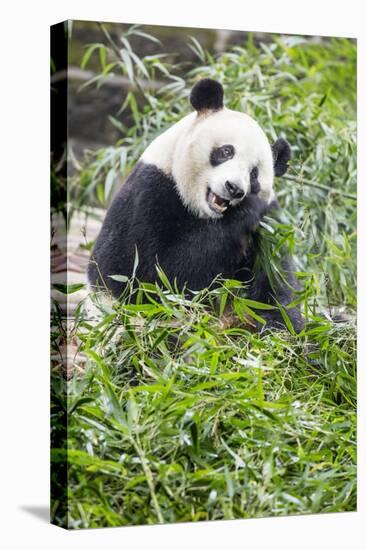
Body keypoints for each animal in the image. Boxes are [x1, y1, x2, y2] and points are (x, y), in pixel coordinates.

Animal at [88, 77, 304, 332]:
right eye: (226, 151)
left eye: (254, 174)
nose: (234, 188)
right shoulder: (147, 198)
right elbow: (153, 278)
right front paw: (248, 211)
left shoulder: (271, 234)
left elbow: (275, 289)